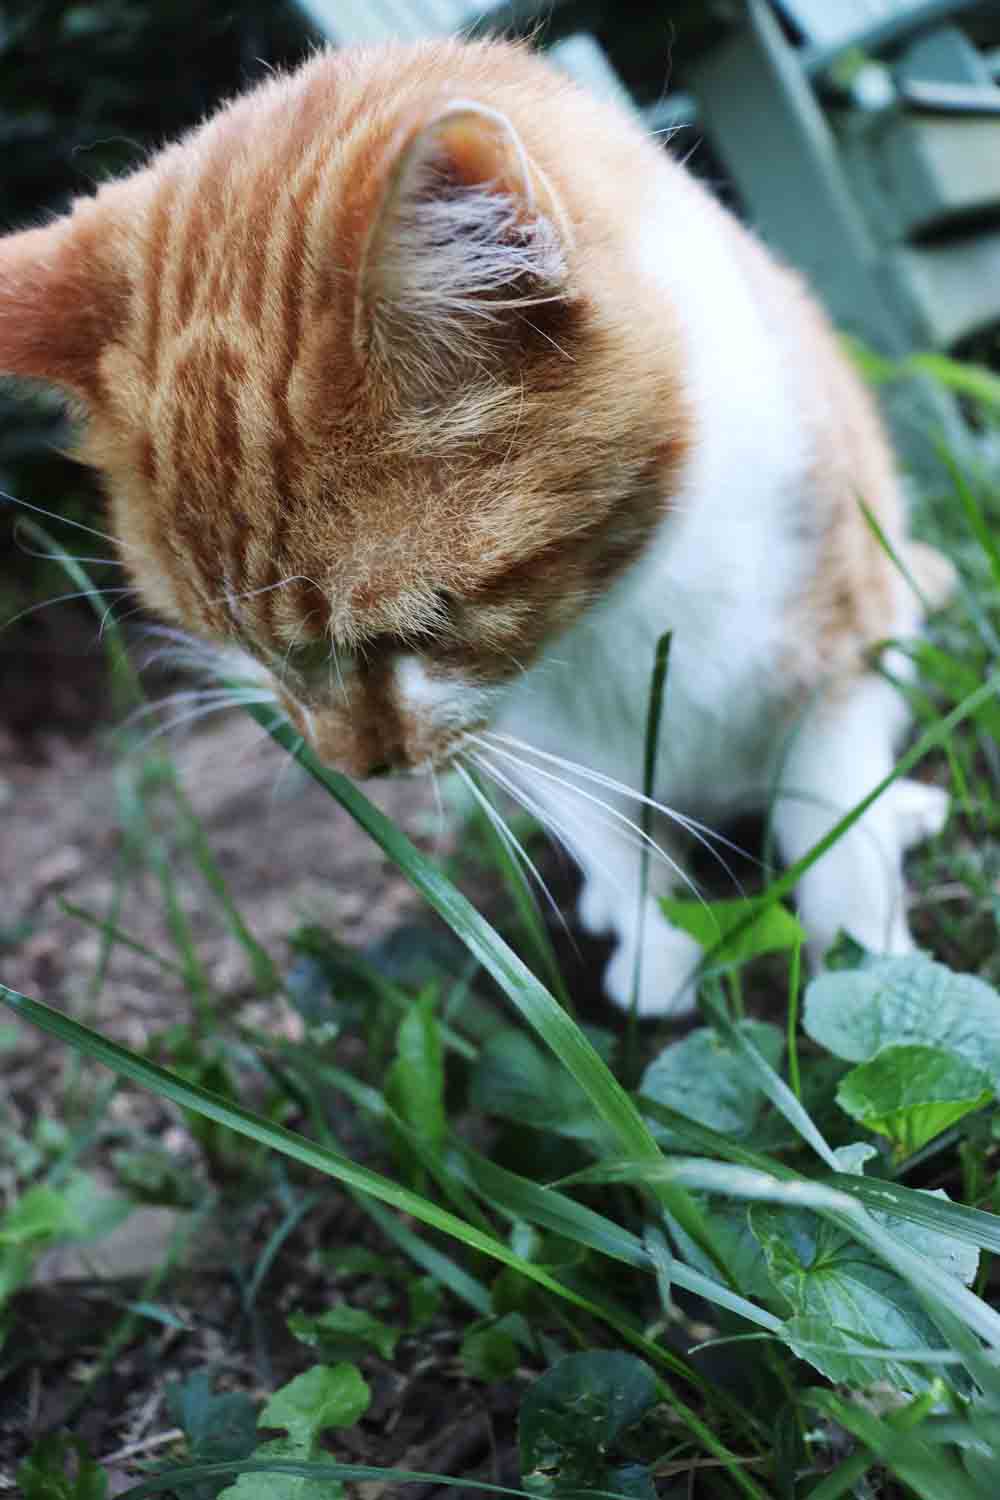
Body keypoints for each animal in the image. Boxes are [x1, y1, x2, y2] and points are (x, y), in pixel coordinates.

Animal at [0, 38, 953, 1020]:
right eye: (239, 646)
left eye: (421, 625)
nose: (360, 768)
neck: (614, 608)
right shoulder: (538, 745)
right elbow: (616, 845)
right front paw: (654, 961)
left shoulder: (839, 645)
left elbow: (837, 841)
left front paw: (864, 964)